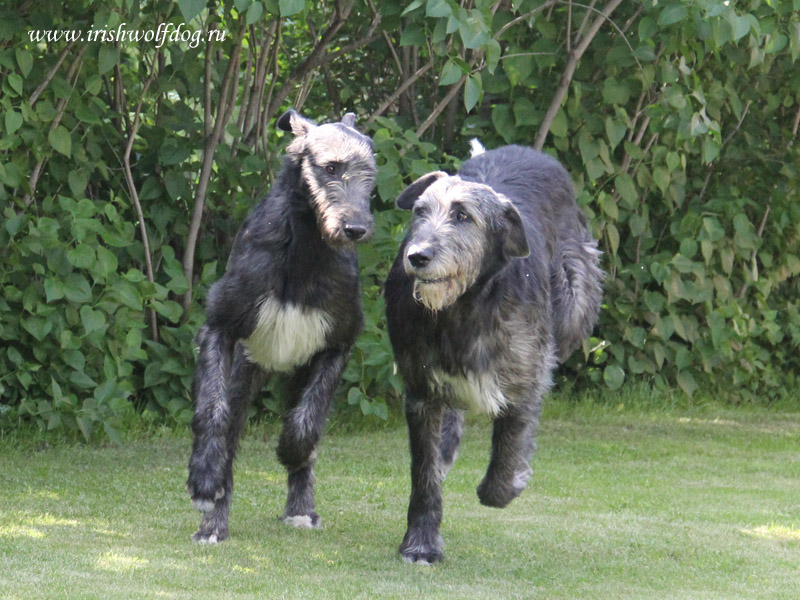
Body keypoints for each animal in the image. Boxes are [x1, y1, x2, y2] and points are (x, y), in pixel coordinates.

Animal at [384, 141, 604, 564]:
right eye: (420, 211)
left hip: (574, 299)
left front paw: (510, 482)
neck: (462, 307)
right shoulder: (420, 389)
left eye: (462, 215)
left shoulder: (523, 375)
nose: (417, 256)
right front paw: (421, 542)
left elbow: (510, 444)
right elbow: (424, 470)